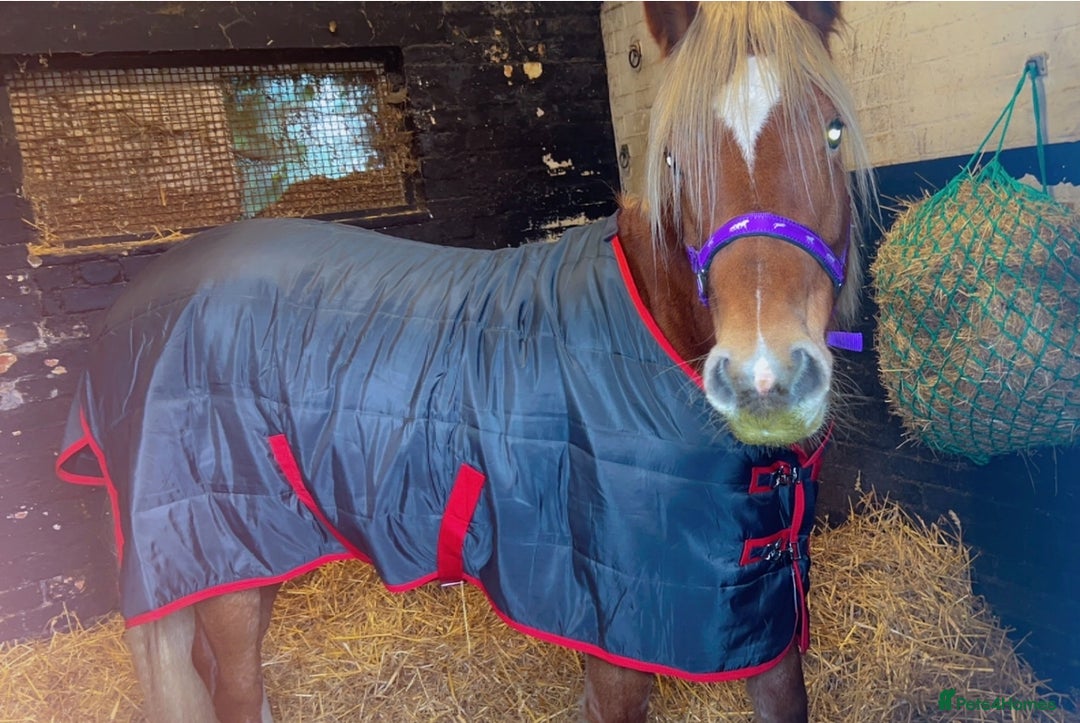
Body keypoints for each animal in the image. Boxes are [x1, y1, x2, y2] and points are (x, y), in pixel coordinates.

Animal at [55, 3, 870, 721]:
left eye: (833, 131)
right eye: (673, 157)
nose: (765, 382)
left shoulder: (758, 615)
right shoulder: (614, 629)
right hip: (223, 560)